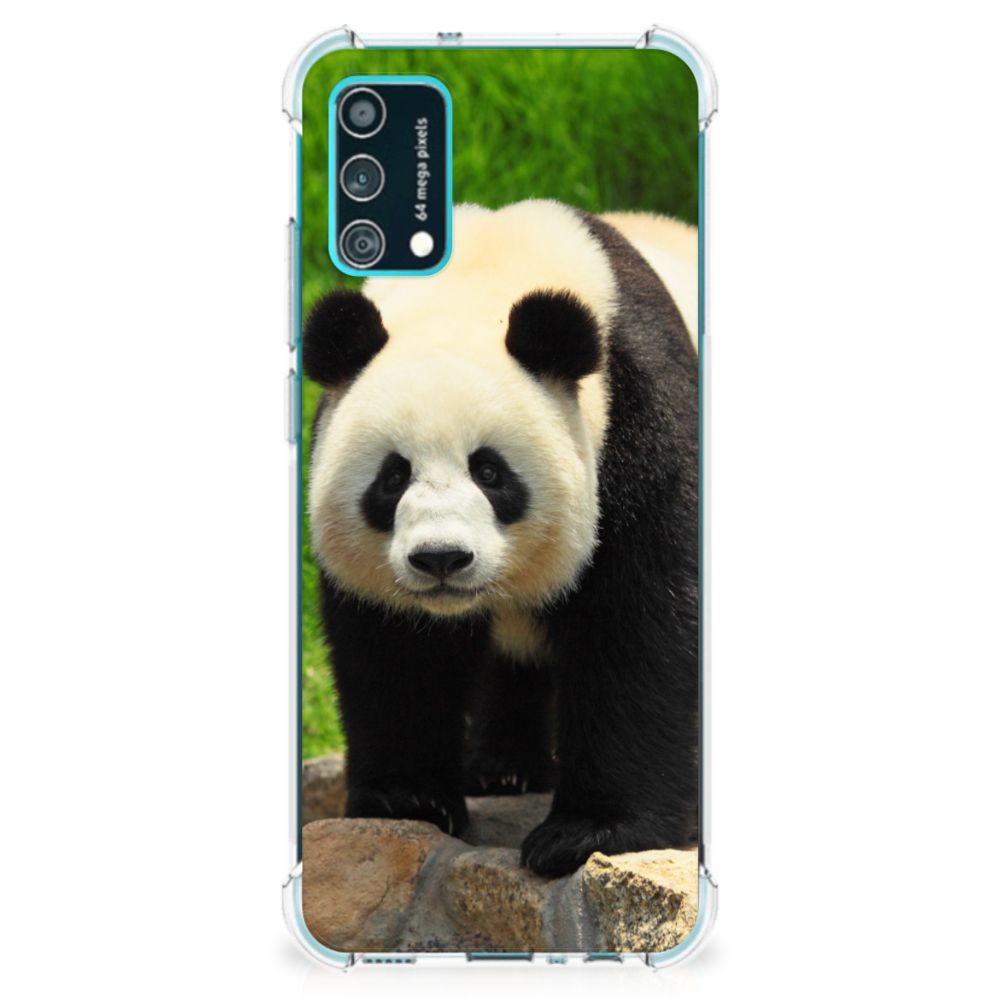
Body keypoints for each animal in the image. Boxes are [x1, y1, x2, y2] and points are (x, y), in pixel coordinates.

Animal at [304, 200, 699, 877]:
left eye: (489, 472)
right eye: (392, 476)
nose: (441, 558)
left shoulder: (641, 419)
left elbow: (641, 622)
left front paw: (588, 832)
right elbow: (393, 649)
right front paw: (408, 799)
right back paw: (504, 769)